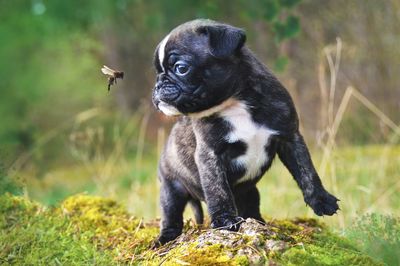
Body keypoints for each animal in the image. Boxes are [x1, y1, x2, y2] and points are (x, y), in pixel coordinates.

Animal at [152, 19, 340, 245]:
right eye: (157, 71)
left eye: (181, 68)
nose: (158, 84)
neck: (235, 102)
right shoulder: (210, 155)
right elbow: (218, 190)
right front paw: (225, 220)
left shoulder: (290, 137)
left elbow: (307, 171)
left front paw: (321, 200)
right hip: (171, 188)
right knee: (171, 214)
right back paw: (166, 238)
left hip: (249, 191)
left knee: (251, 204)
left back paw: (258, 223)